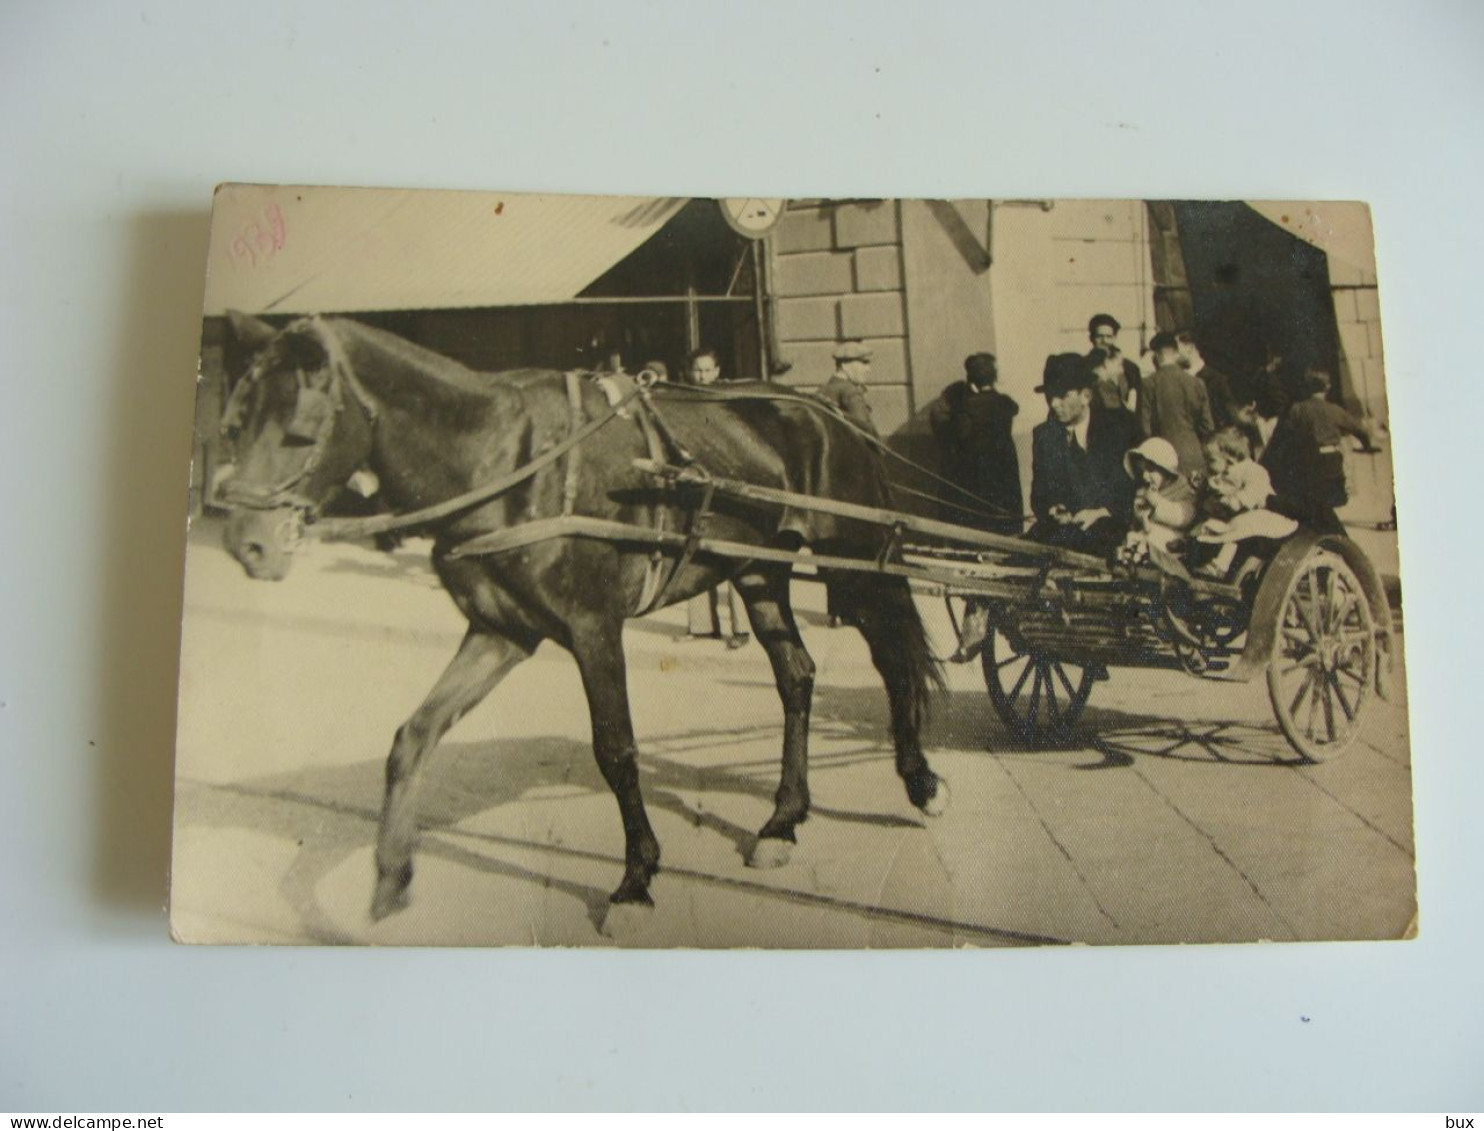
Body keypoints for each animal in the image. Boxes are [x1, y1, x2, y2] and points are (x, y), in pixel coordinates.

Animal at [215, 313, 943, 932]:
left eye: (299, 431)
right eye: (236, 422)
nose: (246, 544)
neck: (507, 460)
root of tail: (828, 411)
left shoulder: (596, 630)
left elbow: (616, 750)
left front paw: (636, 878)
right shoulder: (502, 632)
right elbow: (414, 735)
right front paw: (392, 872)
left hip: (852, 560)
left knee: (892, 656)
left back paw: (919, 779)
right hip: (756, 571)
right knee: (796, 673)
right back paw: (783, 820)